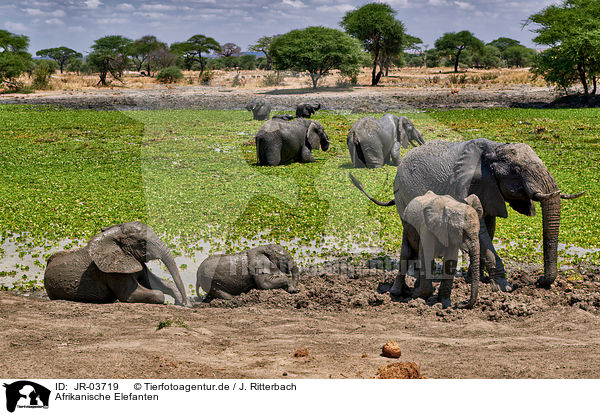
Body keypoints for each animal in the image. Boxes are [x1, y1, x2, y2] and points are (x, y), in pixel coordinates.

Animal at [44, 223, 190, 308]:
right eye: (143, 243)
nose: (185, 304)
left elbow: (157, 282)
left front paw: (179, 301)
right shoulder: (113, 271)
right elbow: (136, 294)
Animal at [350, 140, 584, 296]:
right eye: (517, 170)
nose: (539, 280)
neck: (494, 149)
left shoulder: (490, 191)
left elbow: (489, 229)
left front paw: (477, 278)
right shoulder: (466, 186)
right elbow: (481, 233)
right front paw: (504, 287)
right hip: (402, 195)